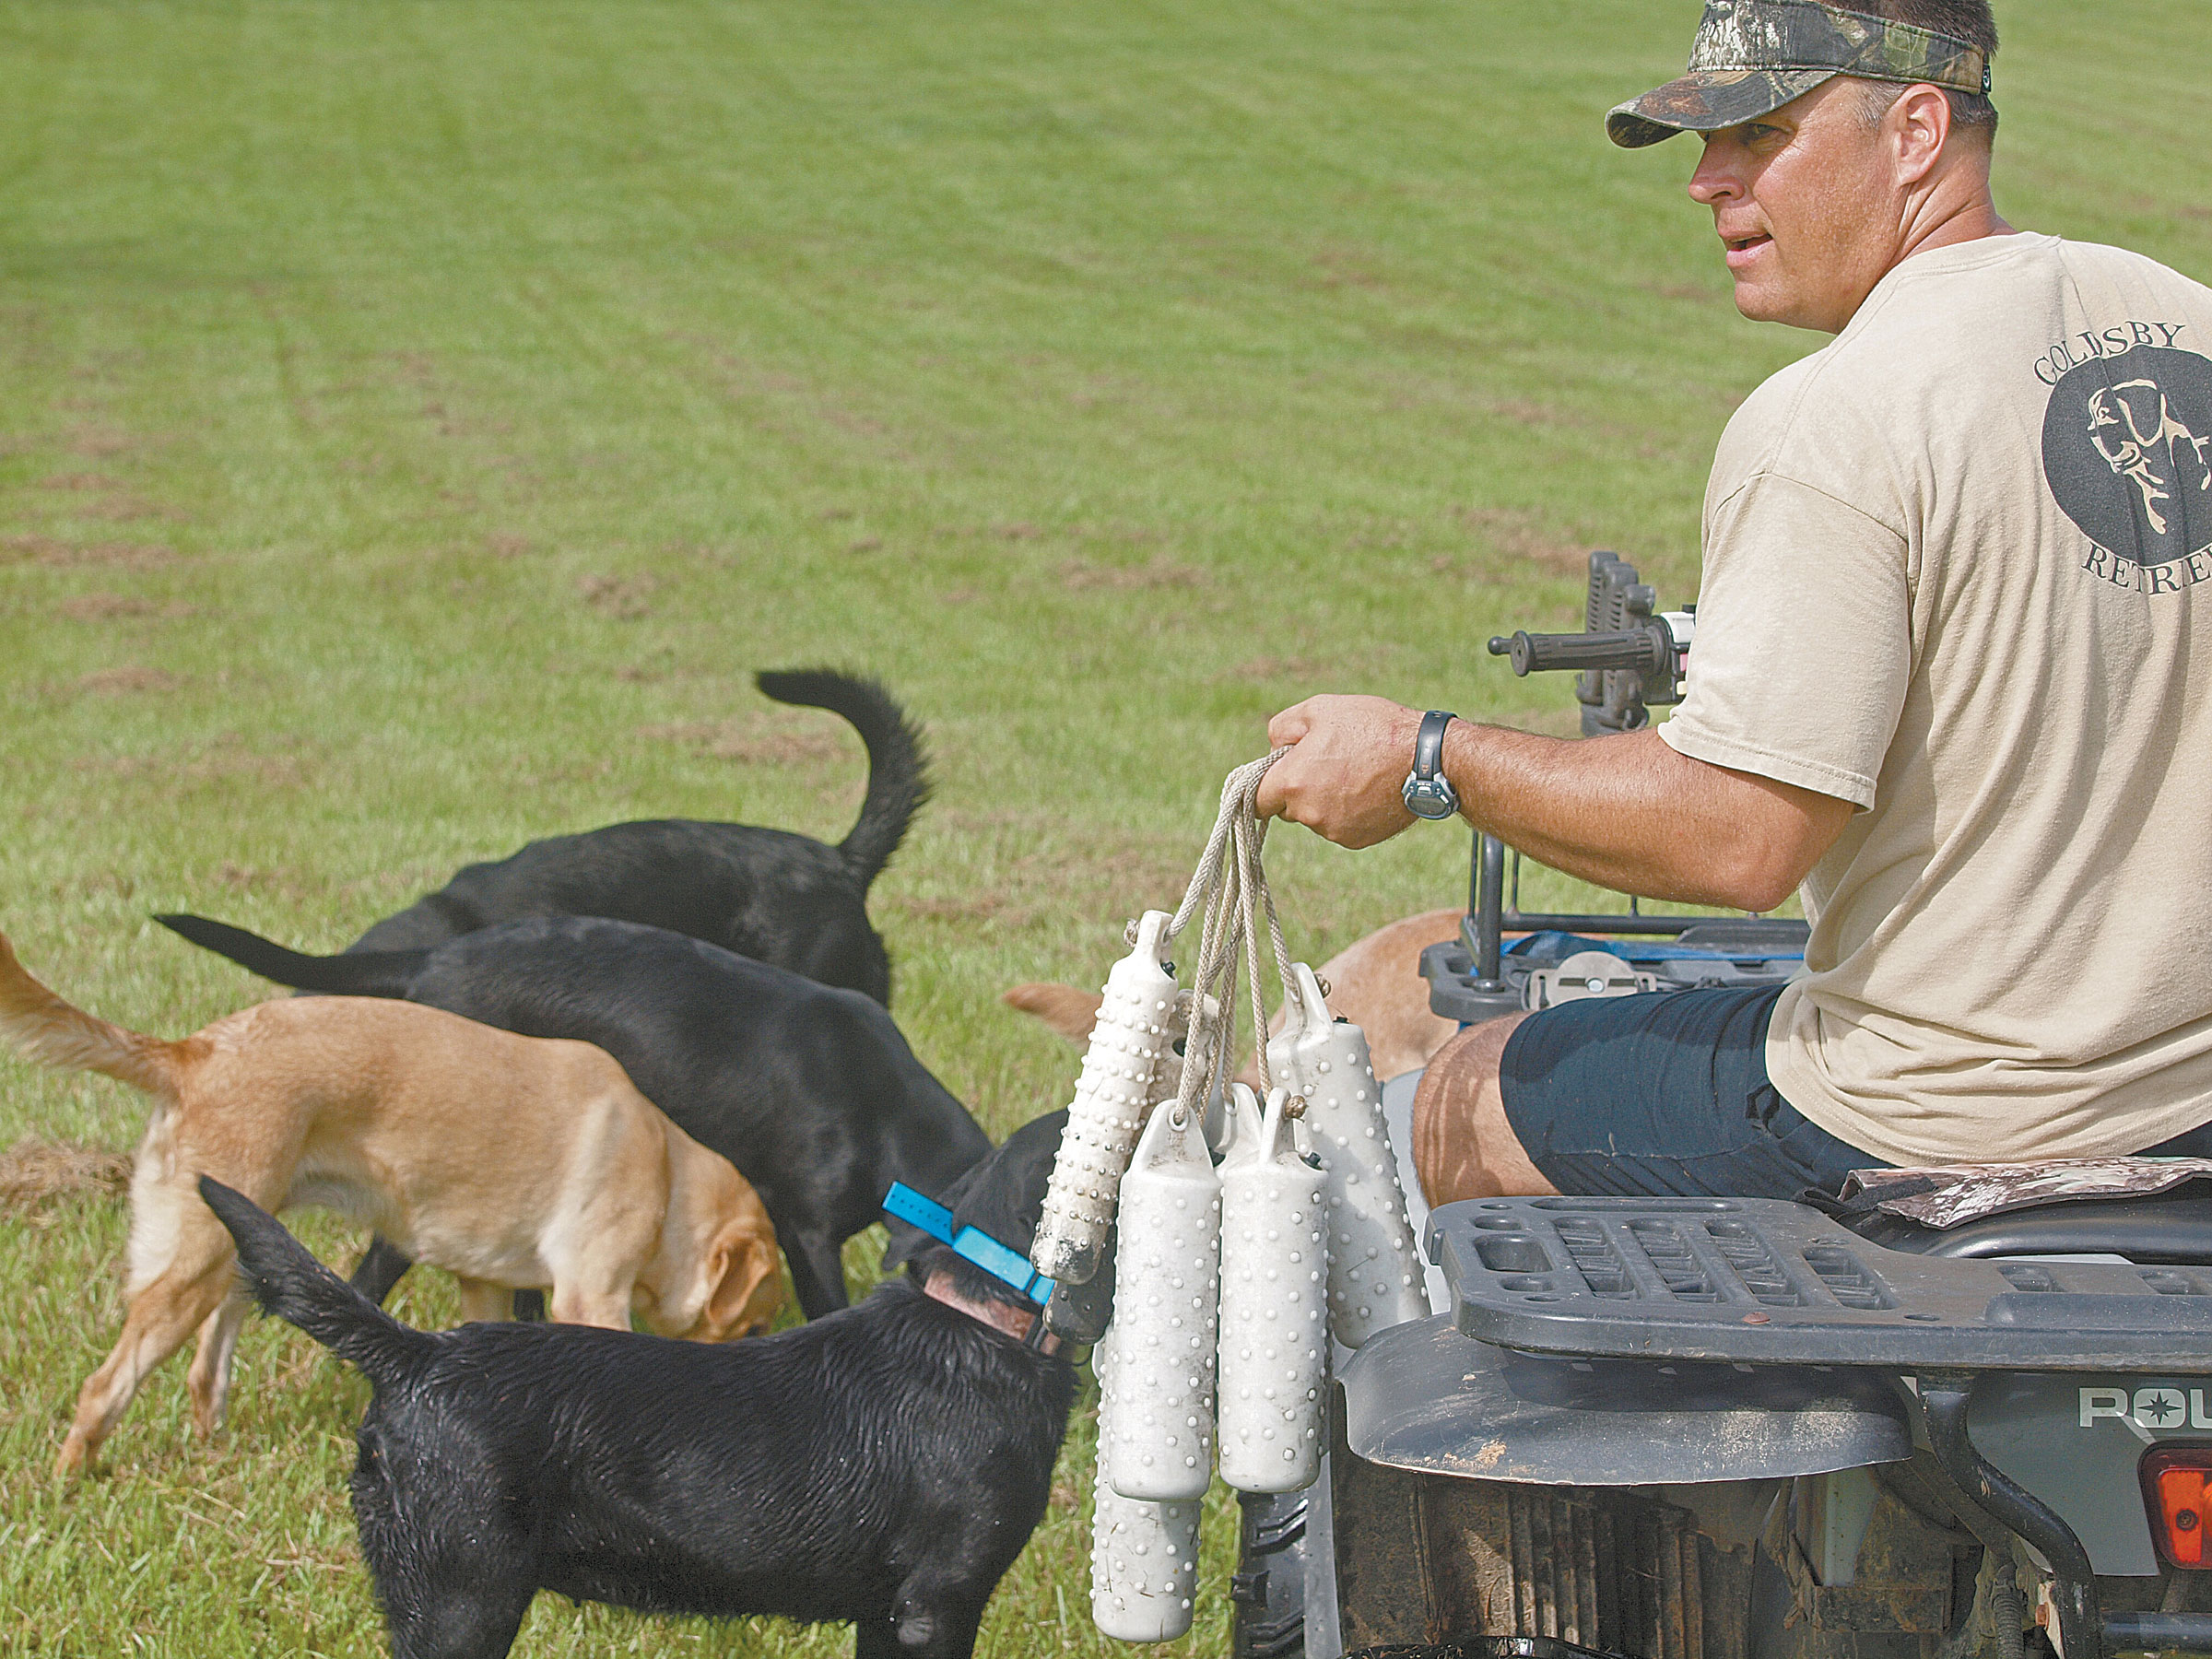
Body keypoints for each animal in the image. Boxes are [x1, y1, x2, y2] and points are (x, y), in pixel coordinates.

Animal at [0, 931, 784, 1476]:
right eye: (752, 1324)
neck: (667, 1173)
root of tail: (191, 1052)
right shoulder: (591, 1298)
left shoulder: (485, 1284)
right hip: (188, 1268)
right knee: (103, 1389)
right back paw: (69, 1482)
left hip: (238, 1249)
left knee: (205, 1371)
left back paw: (210, 1451)